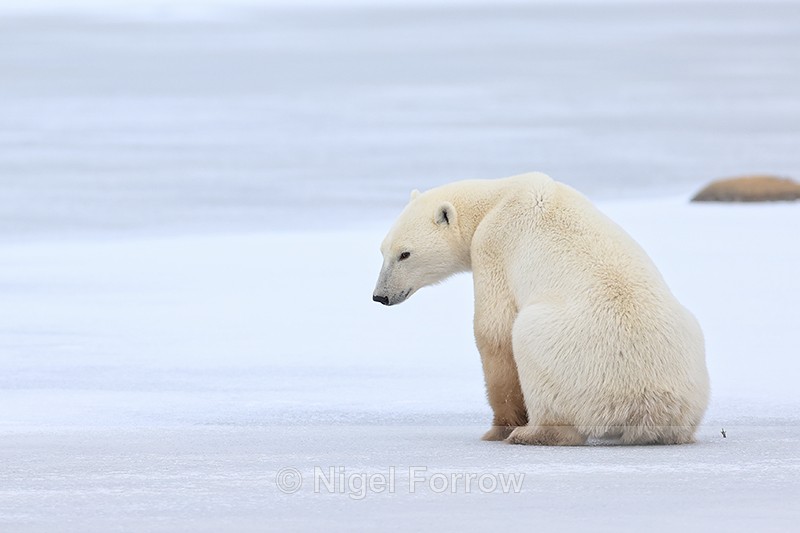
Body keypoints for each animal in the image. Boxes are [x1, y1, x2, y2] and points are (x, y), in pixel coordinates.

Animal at [372, 172, 709, 445]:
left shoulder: (494, 245)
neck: (499, 197)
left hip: (569, 356)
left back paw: (532, 433)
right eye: (383, 250)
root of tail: (646, 407)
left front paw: (500, 428)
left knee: (528, 343)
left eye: (405, 254)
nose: (380, 296)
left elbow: (495, 332)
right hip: (689, 341)